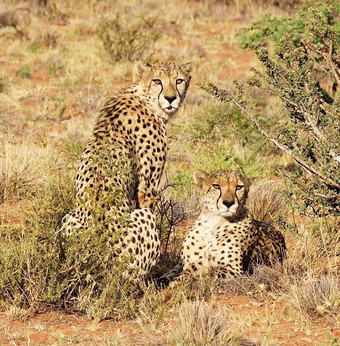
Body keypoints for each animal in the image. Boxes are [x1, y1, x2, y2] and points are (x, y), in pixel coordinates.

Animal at [59, 61, 193, 276]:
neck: (145, 97)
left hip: (68, 218)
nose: (171, 98)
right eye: (157, 81)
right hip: (141, 225)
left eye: (179, 80)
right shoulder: (147, 189)